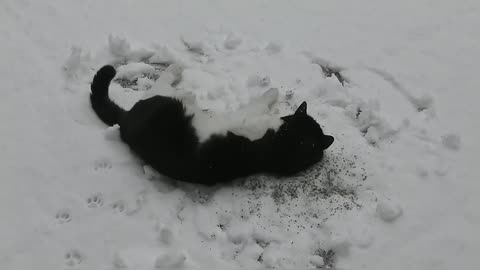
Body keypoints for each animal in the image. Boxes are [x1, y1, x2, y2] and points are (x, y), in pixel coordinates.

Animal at [92, 65, 336, 186]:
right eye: (295, 119)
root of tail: (125, 123)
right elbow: (263, 103)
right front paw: (274, 93)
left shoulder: (245, 117)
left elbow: (258, 103)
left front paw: (271, 94)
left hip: (165, 101)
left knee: (157, 87)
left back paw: (177, 74)